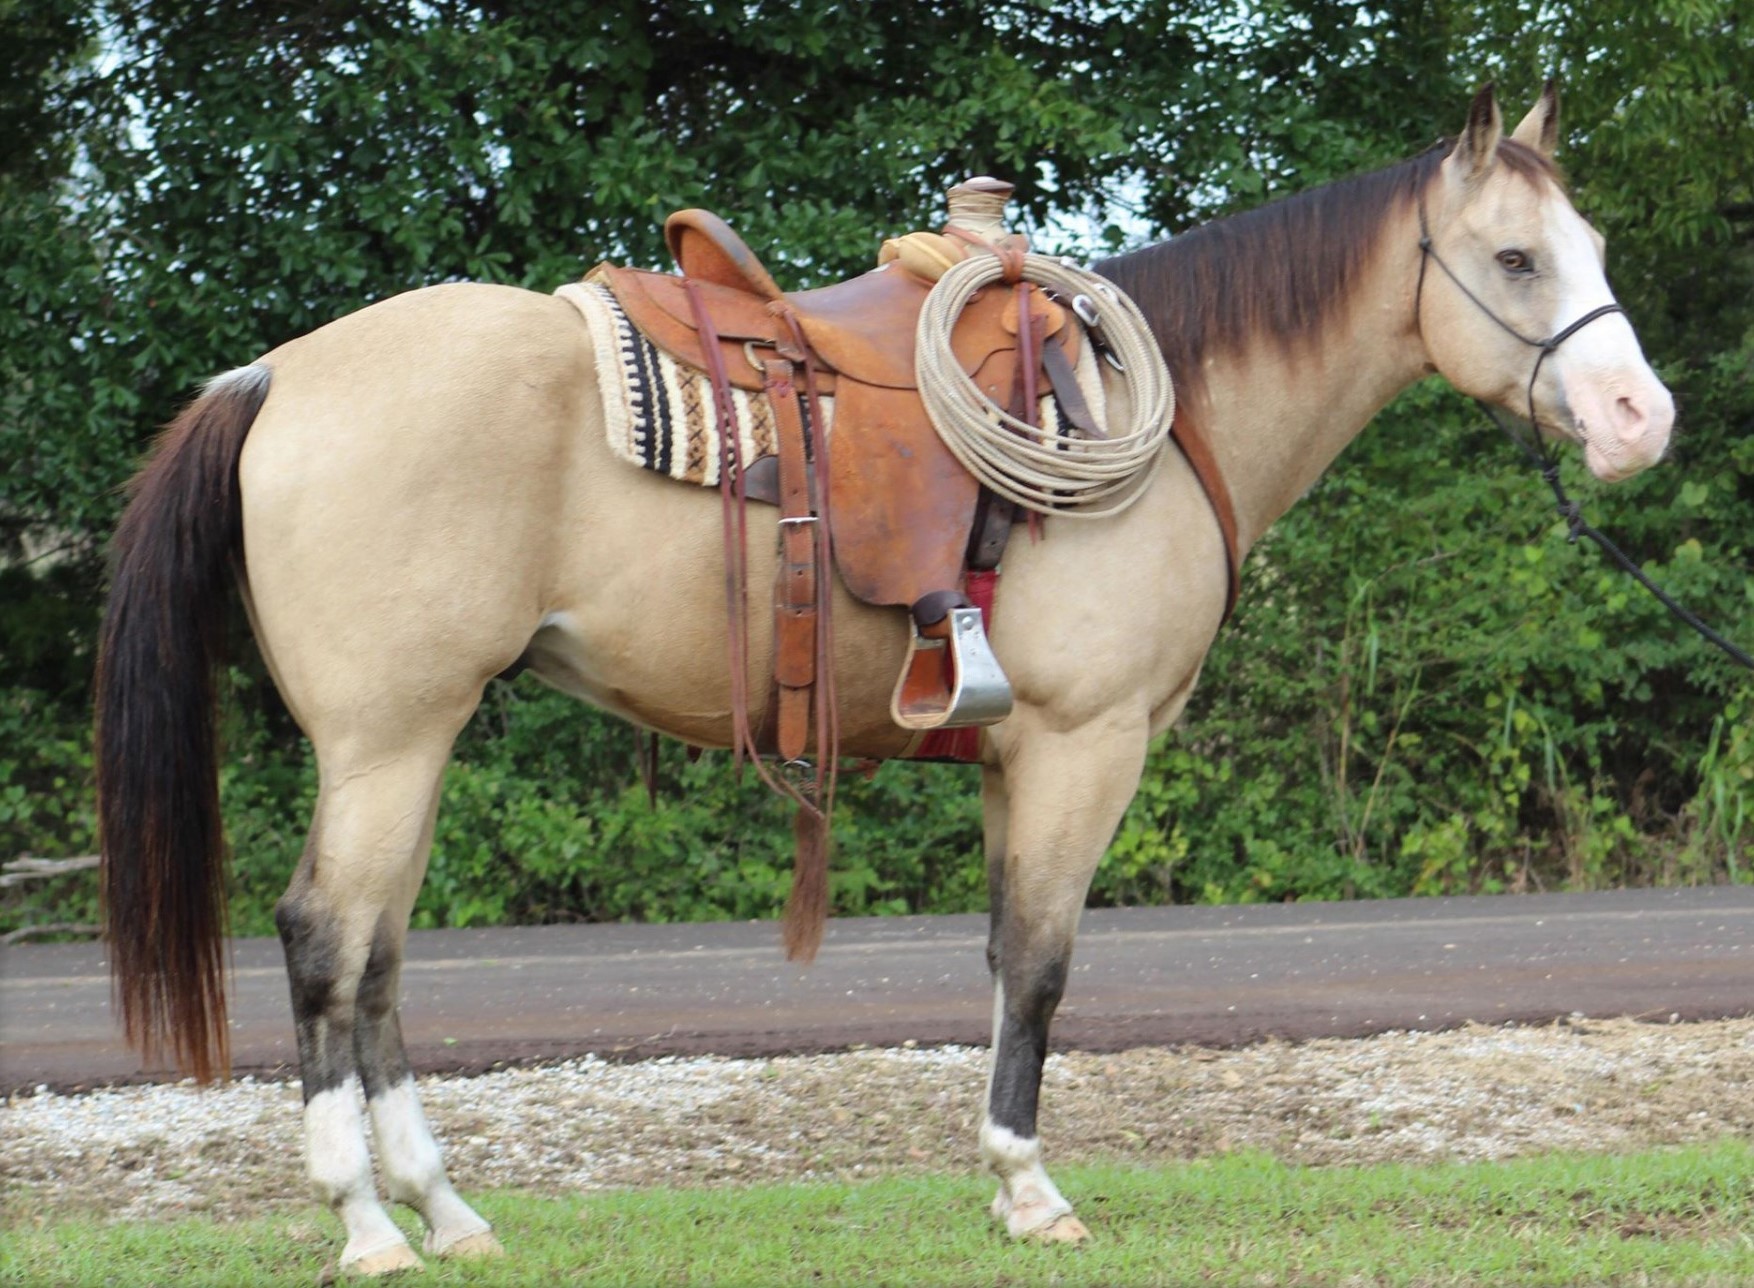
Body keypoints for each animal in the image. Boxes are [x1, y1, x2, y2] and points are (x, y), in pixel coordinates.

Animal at [96, 85, 1669, 1277]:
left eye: (1590, 241)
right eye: (1515, 260)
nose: (1639, 418)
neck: (1160, 421)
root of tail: (273, 377)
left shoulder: (1015, 759)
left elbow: (1000, 959)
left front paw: (1002, 1180)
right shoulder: (1082, 746)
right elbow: (1041, 963)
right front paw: (1029, 1188)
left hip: (413, 744)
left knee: (378, 956)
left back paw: (447, 1210)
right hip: (386, 738)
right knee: (324, 939)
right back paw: (366, 1224)